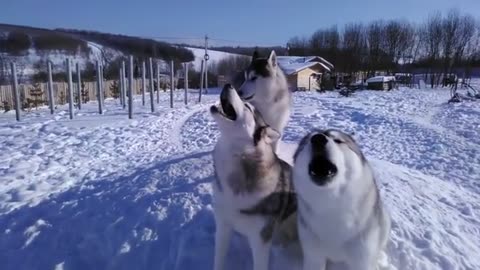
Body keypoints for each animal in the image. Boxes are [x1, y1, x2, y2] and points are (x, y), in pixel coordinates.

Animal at [292, 130, 390, 268]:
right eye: (306, 142)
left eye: (338, 141)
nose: (318, 139)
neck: (331, 206)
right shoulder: (313, 255)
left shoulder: (361, 257)